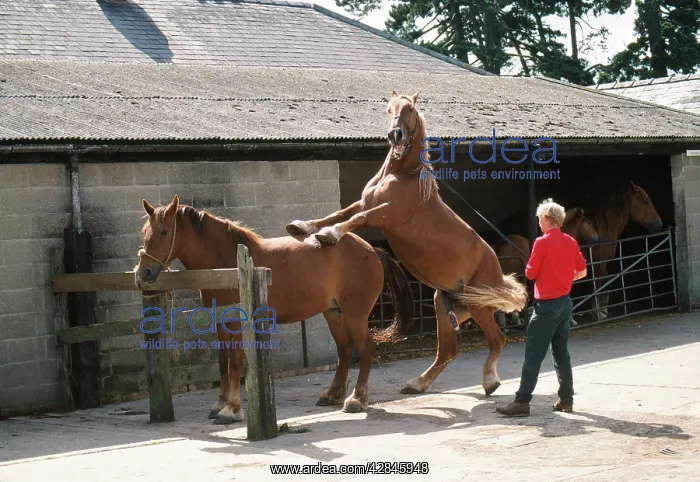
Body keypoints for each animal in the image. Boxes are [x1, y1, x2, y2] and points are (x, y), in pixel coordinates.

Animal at [134, 195, 414, 424]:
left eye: (163, 231)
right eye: (145, 231)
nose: (144, 273)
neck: (225, 263)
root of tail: (371, 250)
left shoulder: (237, 323)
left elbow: (235, 363)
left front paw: (231, 410)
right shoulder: (220, 323)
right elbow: (223, 361)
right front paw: (219, 405)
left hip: (355, 314)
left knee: (365, 348)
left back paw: (356, 399)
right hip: (334, 312)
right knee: (345, 349)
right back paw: (331, 395)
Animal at [285, 90, 528, 397]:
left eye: (410, 110)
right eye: (389, 109)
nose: (395, 135)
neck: (402, 174)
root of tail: (496, 268)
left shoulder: (387, 213)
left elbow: (356, 219)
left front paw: (329, 235)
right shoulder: (365, 202)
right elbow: (339, 213)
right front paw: (303, 226)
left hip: (479, 307)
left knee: (497, 340)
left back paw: (490, 380)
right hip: (448, 309)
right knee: (447, 352)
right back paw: (417, 383)